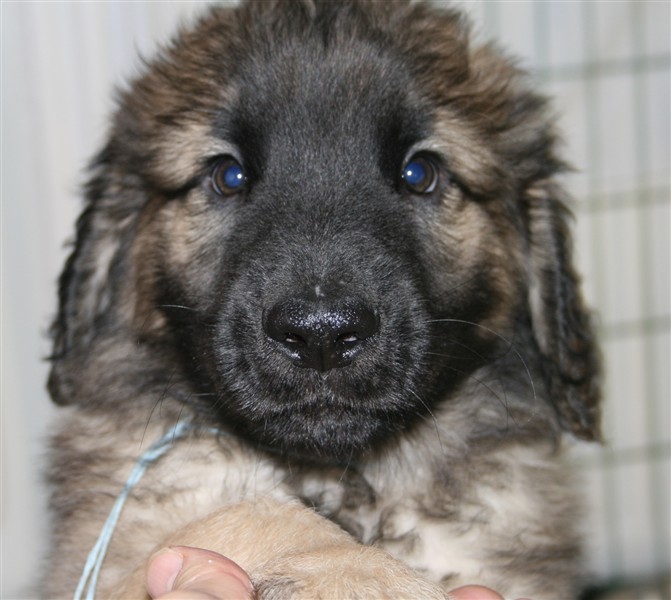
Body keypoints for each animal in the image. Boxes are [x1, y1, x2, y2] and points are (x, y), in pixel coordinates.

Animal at [44, 1, 600, 600]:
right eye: (227, 175)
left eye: (420, 173)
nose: (321, 334)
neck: (341, 476)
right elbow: (253, 509)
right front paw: (363, 573)